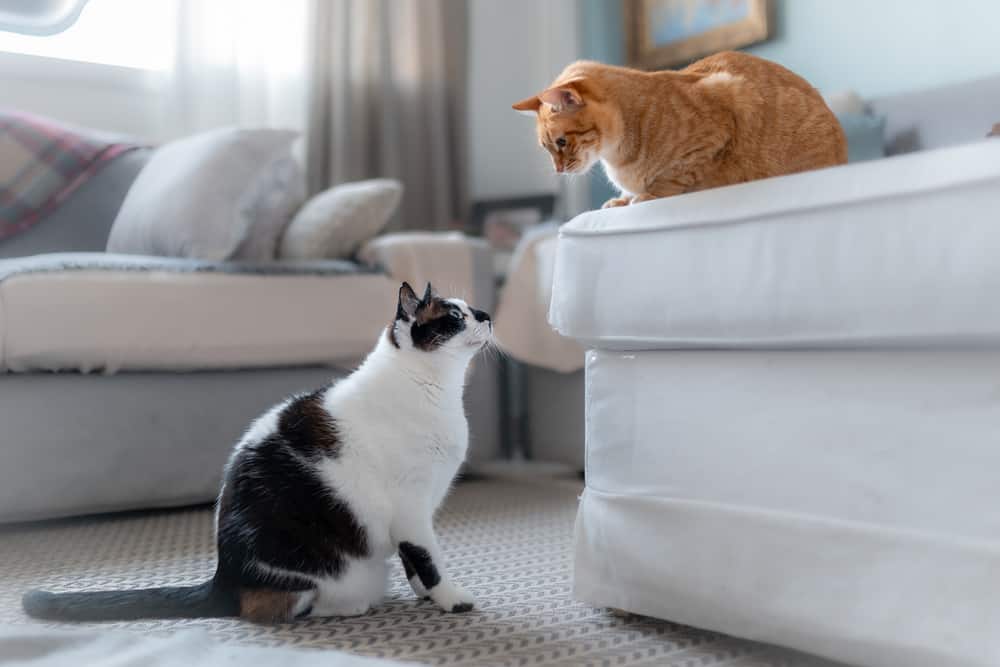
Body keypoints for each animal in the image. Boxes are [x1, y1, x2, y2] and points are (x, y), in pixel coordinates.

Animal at [22, 280, 492, 620]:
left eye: (471, 308)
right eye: (455, 316)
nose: (487, 314)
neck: (438, 392)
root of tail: (222, 578)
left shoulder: (419, 511)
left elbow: (415, 563)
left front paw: (426, 597)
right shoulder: (411, 509)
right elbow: (428, 560)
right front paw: (451, 600)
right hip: (311, 574)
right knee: (274, 608)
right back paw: (349, 605)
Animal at [512, 51, 848, 207]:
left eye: (561, 142)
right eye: (546, 148)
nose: (558, 171)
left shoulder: (721, 115)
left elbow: (673, 178)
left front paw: (644, 195)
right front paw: (621, 198)